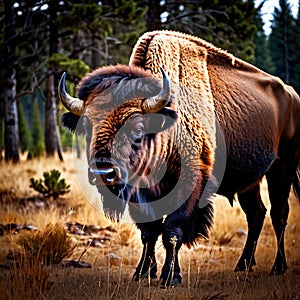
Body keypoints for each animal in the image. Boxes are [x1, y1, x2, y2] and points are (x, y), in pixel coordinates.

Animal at [57, 30, 298, 286]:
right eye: (87, 127)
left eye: (137, 128)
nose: (104, 172)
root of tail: (292, 95)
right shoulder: (141, 193)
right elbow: (149, 231)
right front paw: (142, 272)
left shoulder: (190, 184)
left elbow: (172, 230)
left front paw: (170, 276)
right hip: (248, 183)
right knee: (256, 214)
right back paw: (243, 265)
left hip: (283, 168)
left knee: (279, 214)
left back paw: (278, 267)